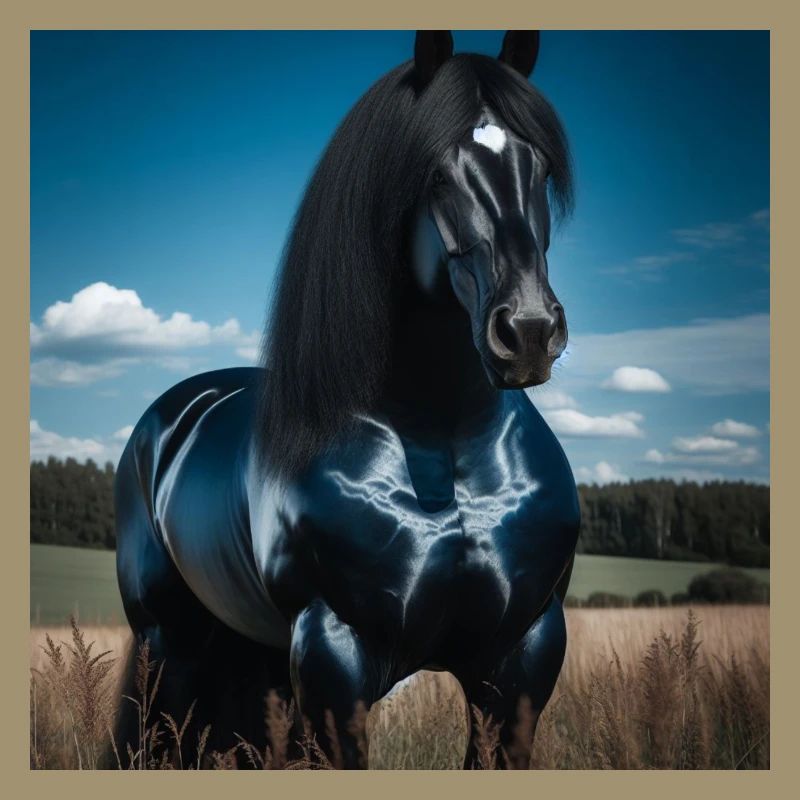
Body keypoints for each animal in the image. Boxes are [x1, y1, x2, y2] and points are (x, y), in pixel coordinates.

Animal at [113, 30, 580, 769]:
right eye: (435, 171)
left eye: (536, 165)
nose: (529, 330)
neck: (446, 446)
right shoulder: (337, 658)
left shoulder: (522, 658)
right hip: (170, 649)